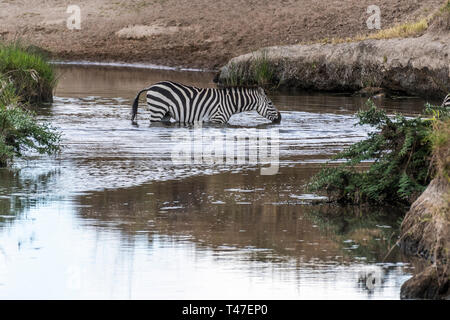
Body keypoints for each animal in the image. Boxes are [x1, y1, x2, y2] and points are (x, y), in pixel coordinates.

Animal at [129, 80, 282, 124]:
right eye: (270, 104)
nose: (280, 118)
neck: (230, 102)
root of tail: (151, 86)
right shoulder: (217, 119)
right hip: (158, 110)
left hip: (165, 113)